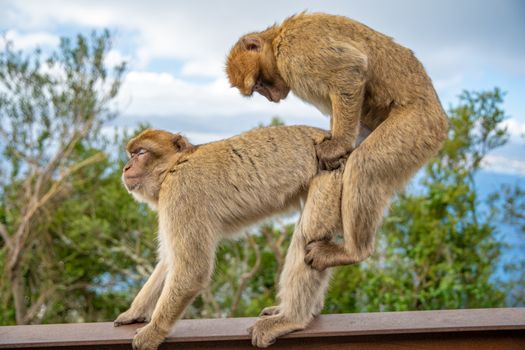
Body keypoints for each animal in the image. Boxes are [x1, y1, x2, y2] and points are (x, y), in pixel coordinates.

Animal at [113, 126, 352, 350]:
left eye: (140, 153)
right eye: (131, 154)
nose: (126, 167)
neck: (174, 166)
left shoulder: (181, 193)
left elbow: (192, 269)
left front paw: (154, 331)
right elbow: (169, 261)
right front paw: (134, 312)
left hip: (331, 176)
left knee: (308, 236)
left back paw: (291, 318)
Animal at [225, 11, 446, 274]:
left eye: (260, 83)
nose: (270, 97)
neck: (277, 40)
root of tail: (440, 116)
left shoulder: (296, 50)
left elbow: (349, 71)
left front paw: (336, 146)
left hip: (420, 126)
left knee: (364, 165)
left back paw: (353, 252)